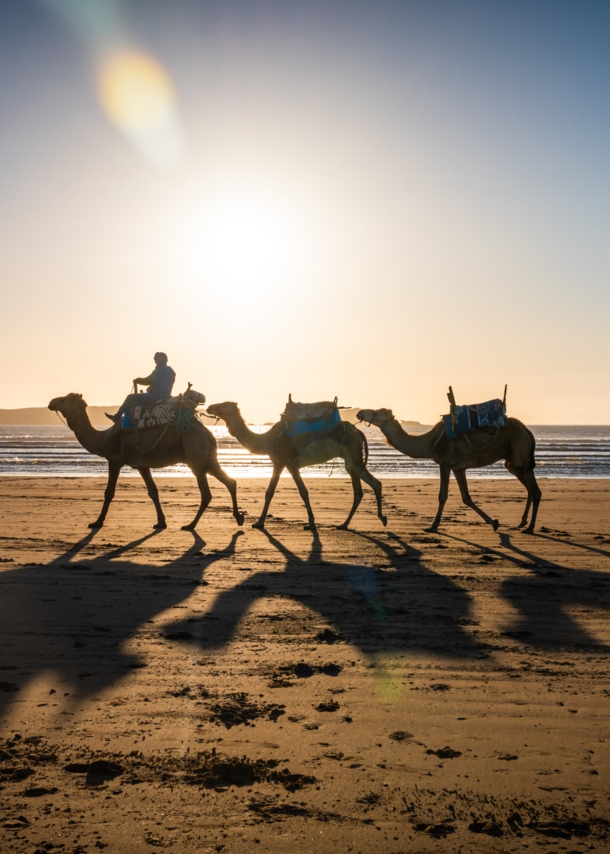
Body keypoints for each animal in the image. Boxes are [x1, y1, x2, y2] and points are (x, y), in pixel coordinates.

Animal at [47, 396, 243, 532]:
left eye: (63, 400)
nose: (51, 402)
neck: (103, 437)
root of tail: (207, 432)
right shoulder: (142, 465)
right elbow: (153, 491)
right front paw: (161, 522)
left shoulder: (115, 459)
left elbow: (109, 492)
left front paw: (97, 522)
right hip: (208, 459)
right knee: (230, 481)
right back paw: (238, 517)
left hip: (196, 457)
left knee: (206, 493)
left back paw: (190, 525)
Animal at [204, 402, 384, 536]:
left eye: (223, 404)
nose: (209, 407)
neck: (267, 440)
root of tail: (359, 431)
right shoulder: (279, 463)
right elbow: (269, 492)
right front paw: (259, 522)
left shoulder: (289, 462)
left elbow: (303, 491)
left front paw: (311, 523)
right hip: (351, 459)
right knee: (359, 490)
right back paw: (344, 524)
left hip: (353, 454)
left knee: (373, 483)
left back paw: (381, 519)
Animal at [354, 410, 540, 536]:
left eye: (376, 412)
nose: (360, 412)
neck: (428, 441)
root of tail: (527, 431)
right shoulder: (458, 468)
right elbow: (466, 497)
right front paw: (494, 522)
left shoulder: (444, 462)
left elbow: (442, 495)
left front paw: (433, 526)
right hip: (513, 463)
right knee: (529, 489)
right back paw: (522, 522)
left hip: (521, 455)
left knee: (536, 491)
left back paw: (530, 528)